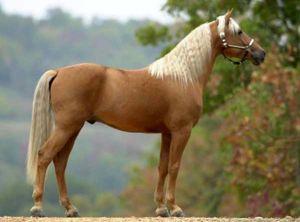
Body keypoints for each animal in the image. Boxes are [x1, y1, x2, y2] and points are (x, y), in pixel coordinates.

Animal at [26, 10, 264, 217]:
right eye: (239, 31)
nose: (261, 54)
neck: (184, 77)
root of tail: (59, 72)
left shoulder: (167, 133)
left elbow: (162, 167)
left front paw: (160, 208)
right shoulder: (182, 131)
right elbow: (174, 167)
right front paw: (174, 208)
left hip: (73, 129)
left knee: (60, 163)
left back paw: (70, 208)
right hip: (67, 127)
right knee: (44, 156)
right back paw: (38, 207)